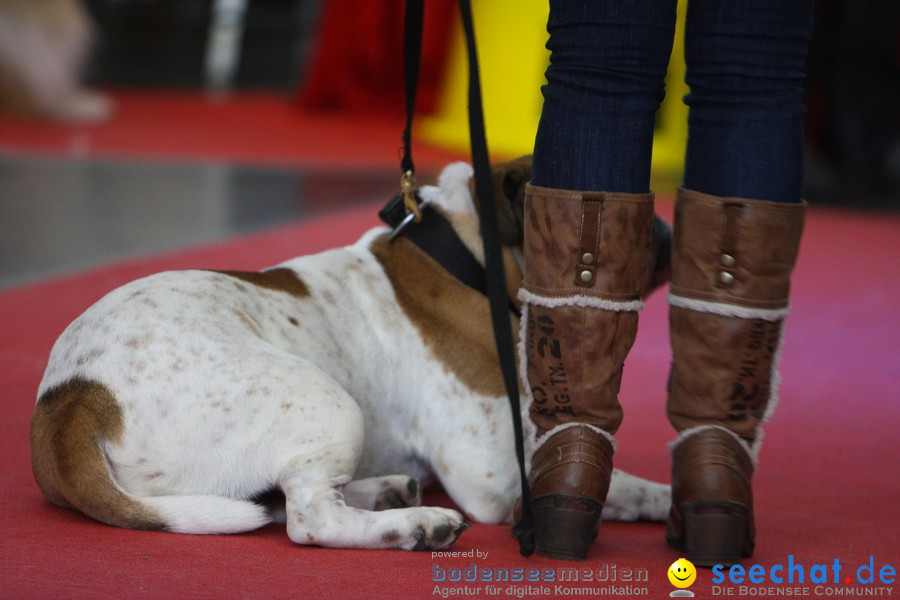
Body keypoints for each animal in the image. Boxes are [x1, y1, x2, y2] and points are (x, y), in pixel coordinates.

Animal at [31, 157, 672, 552]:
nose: (667, 231)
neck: (465, 256)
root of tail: (70, 398)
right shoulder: (492, 471)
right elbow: (612, 480)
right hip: (328, 401)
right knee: (309, 518)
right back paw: (413, 524)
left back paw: (387, 491)